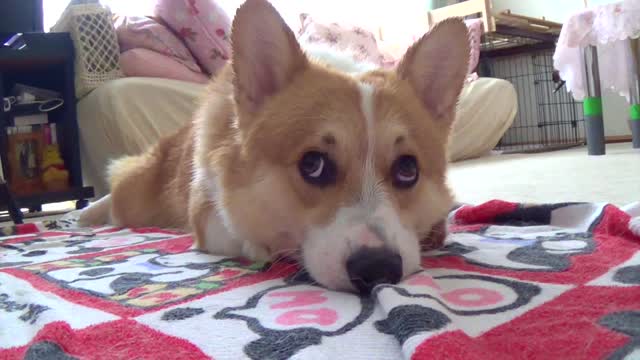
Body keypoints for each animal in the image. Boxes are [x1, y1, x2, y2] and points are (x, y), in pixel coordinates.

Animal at [81, 0, 470, 292]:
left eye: (408, 169)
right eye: (313, 164)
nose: (379, 270)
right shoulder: (209, 215)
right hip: (135, 194)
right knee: (116, 189)